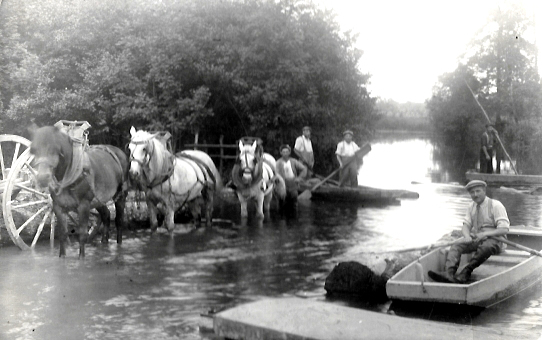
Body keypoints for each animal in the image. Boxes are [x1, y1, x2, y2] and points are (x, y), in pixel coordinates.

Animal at [28, 125, 129, 258]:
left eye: (54, 149)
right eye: (33, 150)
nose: (42, 178)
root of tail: (119, 151)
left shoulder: (84, 205)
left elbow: (82, 234)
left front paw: (81, 258)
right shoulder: (58, 206)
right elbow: (62, 234)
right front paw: (62, 257)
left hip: (120, 195)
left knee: (119, 221)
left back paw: (119, 245)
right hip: (98, 199)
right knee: (106, 215)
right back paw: (104, 243)